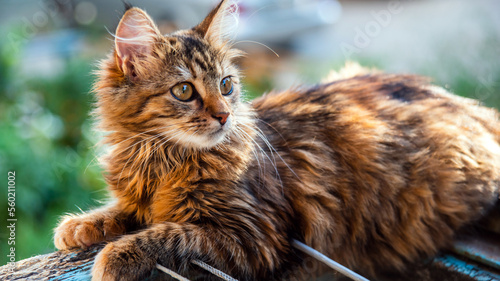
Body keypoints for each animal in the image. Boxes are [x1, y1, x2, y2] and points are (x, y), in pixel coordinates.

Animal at [52, 1, 498, 278]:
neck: (161, 157)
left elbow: (168, 234)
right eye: (184, 91)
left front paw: (115, 256)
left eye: (226, 85)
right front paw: (81, 225)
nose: (224, 115)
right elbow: (126, 210)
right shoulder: (143, 193)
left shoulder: (254, 235)